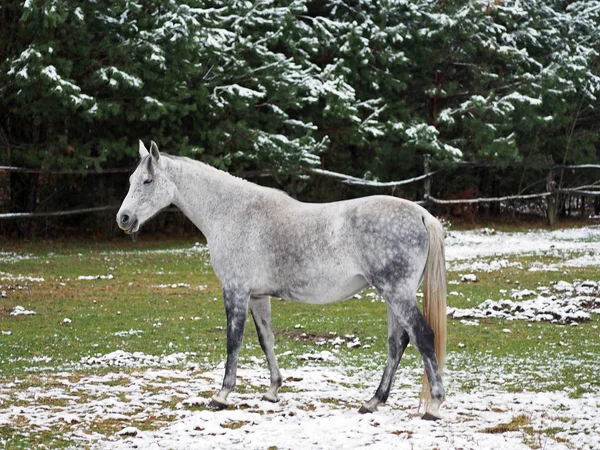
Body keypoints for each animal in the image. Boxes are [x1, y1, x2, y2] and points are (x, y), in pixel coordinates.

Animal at [116, 140, 446, 418]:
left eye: (147, 181)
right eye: (130, 181)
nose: (123, 219)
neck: (231, 212)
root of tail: (421, 215)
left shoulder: (235, 290)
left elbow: (233, 341)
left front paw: (222, 395)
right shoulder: (257, 296)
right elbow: (266, 339)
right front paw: (273, 390)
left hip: (397, 293)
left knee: (422, 336)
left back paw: (434, 405)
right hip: (392, 295)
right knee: (397, 343)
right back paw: (373, 401)